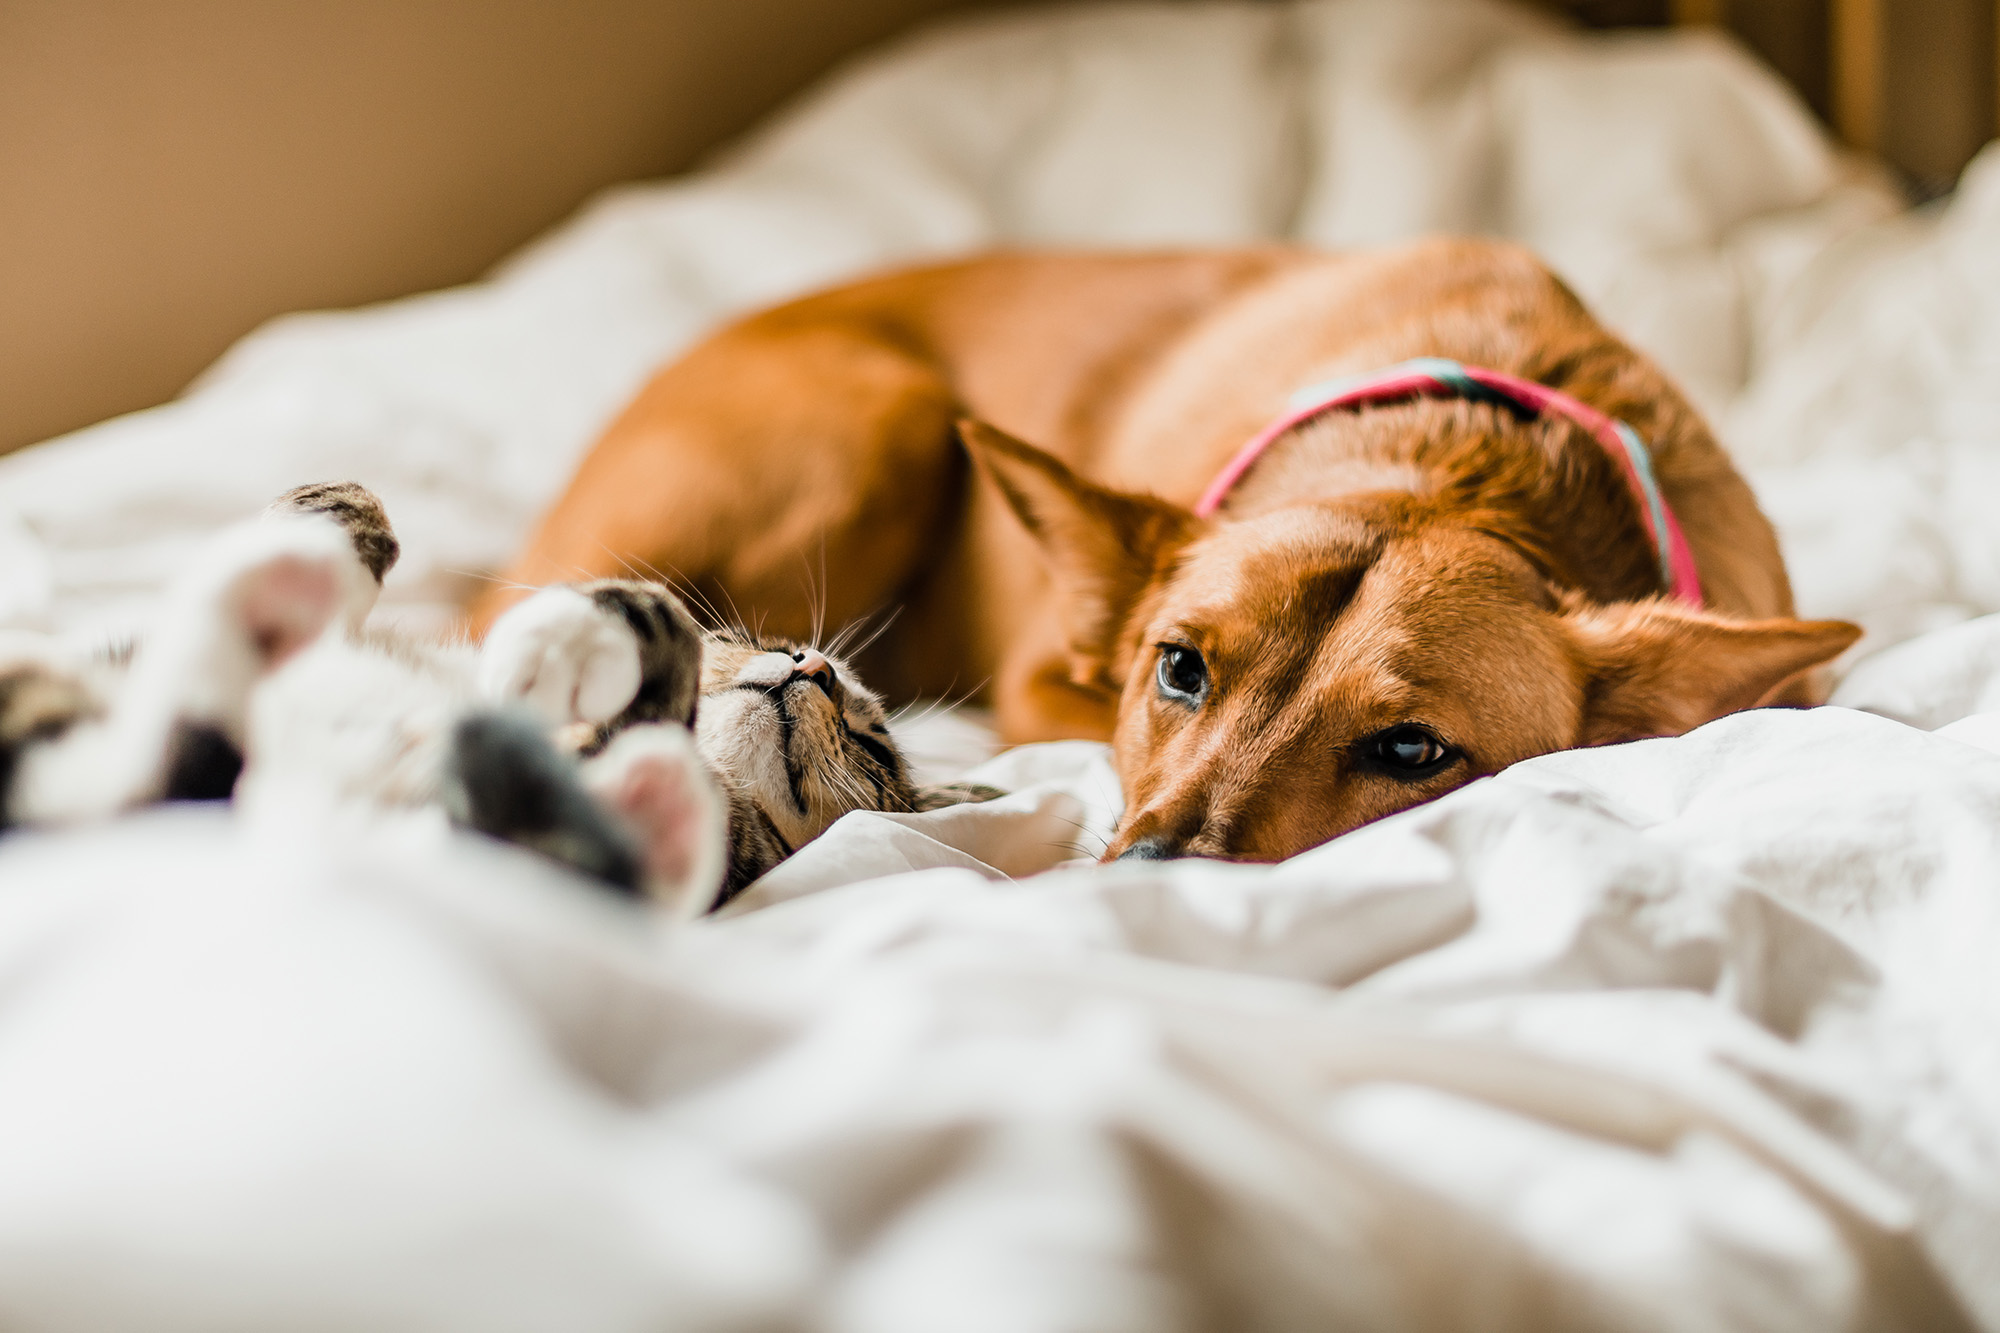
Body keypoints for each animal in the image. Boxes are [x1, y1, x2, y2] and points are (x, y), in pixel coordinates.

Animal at [480, 239, 1856, 860]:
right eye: (1178, 669)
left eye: (1412, 751)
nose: (1142, 871)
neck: (1458, 462)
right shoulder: (1046, 680)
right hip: (874, 428)